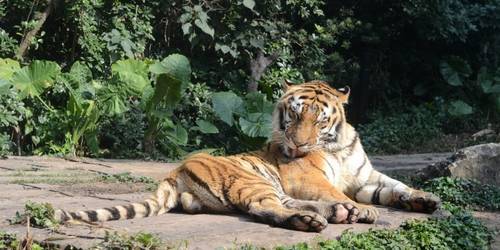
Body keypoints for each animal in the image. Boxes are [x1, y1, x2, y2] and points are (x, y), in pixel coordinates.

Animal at [52, 80, 440, 232]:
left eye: (319, 119)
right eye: (294, 115)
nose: (299, 145)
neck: (337, 145)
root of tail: (174, 172)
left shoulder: (364, 176)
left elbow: (395, 185)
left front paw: (425, 199)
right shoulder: (308, 176)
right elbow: (335, 190)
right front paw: (365, 209)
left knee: (284, 204)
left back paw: (335, 214)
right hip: (252, 180)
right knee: (264, 208)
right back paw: (315, 220)